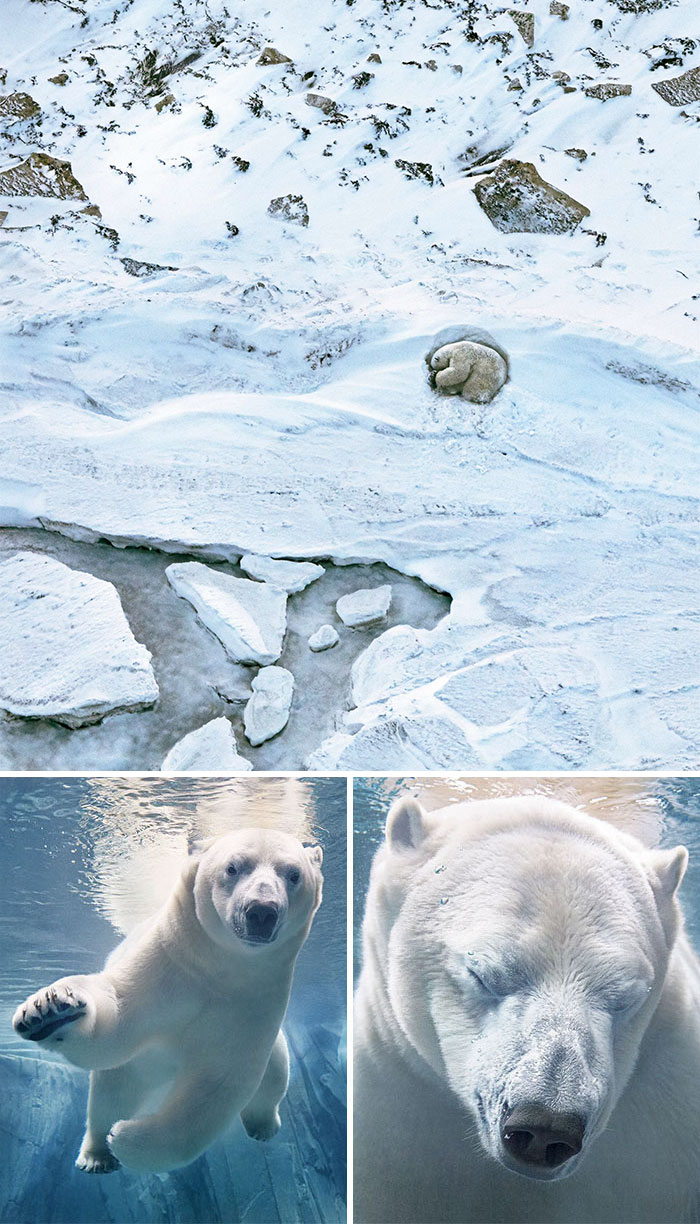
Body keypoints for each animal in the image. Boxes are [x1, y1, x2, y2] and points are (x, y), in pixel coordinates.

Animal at [12, 827, 323, 1175]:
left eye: (294, 874)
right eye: (233, 867)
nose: (261, 911)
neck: (219, 967)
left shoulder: (254, 1001)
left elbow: (215, 1088)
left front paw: (126, 1138)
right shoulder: (167, 961)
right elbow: (117, 1021)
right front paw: (49, 1012)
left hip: (275, 1044)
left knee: (275, 1075)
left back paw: (263, 1126)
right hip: (135, 1070)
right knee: (110, 1094)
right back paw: (96, 1156)